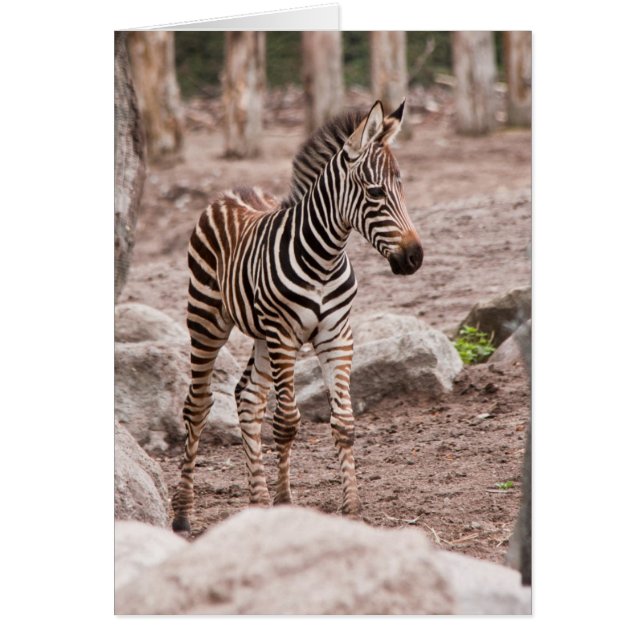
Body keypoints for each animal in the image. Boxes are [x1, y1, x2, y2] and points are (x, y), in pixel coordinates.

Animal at [172, 99, 423, 533]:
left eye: (402, 187)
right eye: (375, 192)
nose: (415, 257)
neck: (325, 257)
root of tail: (234, 191)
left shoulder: (336, 336)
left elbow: (344, 424)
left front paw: (349, 510)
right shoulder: (283, 335)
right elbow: (287, 422)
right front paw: (285, 502)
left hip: (259, 335)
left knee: (248, 397)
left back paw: (257, 502)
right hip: (207, 318)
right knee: (198, 405)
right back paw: (184, 515)